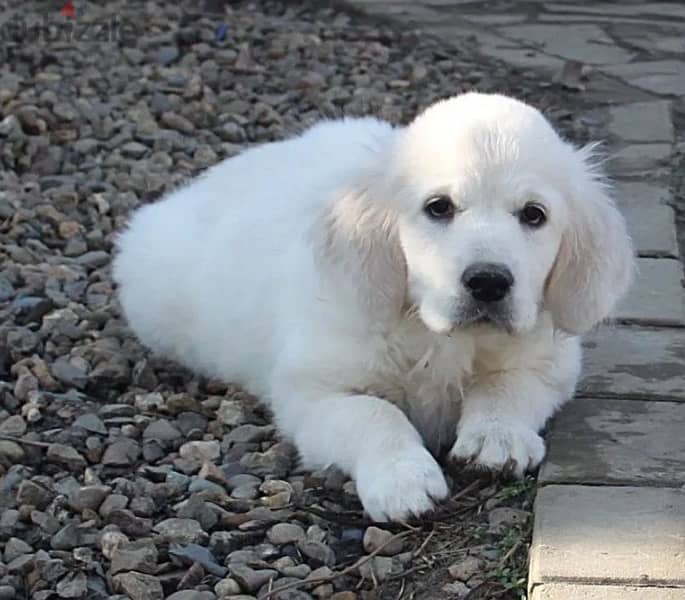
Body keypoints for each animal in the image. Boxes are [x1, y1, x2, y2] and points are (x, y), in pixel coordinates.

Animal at [115, 92, 632, 520]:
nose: (489, 282)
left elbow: (507, 385)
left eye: (533, 215)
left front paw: (496, 437)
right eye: (438, 207)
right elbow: (374, 414)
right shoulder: (313, 393)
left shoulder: (548, 361)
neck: (436, 335)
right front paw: (404, 479)